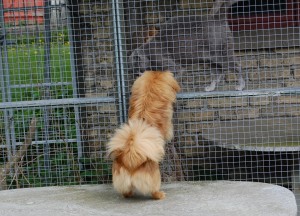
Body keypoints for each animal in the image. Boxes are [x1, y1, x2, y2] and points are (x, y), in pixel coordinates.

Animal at [106, 70, 179, 199]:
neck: (147, 97)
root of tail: (130, 157)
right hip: (155, 174)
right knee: (154, 189)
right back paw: (160, 195)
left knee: (126, 191)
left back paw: (128, 194)